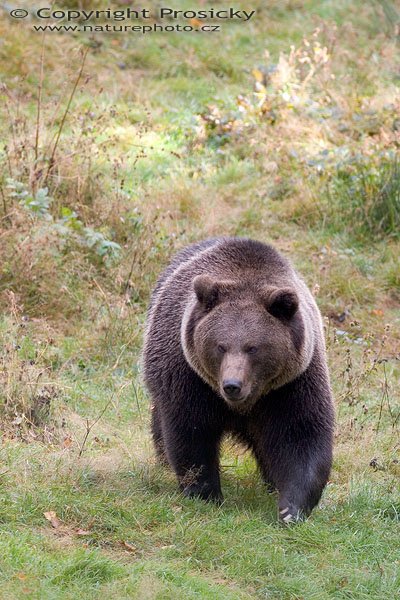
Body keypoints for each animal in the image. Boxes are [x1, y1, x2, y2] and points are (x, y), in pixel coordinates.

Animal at [144, 238, 334, 520]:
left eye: (253, 347)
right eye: (221, 346)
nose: (232, 385)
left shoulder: (293, 384)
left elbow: (302, 436)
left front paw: (290, 508)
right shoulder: (188, 376)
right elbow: (190, 432)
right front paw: (206, 493)